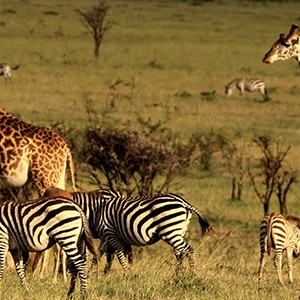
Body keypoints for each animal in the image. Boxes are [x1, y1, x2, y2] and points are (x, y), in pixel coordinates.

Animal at [71, 190, 213, 274]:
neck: (97, 211)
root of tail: (183, 202)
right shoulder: (105, 236)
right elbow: (98, 254)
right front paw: (91, 274)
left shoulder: (110, 232)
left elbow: (119, 254)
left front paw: (127, 274)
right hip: (178, 231)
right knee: (180, 253)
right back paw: (178, 275)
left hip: (170, 231)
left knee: (189, 250)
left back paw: (192, 275)